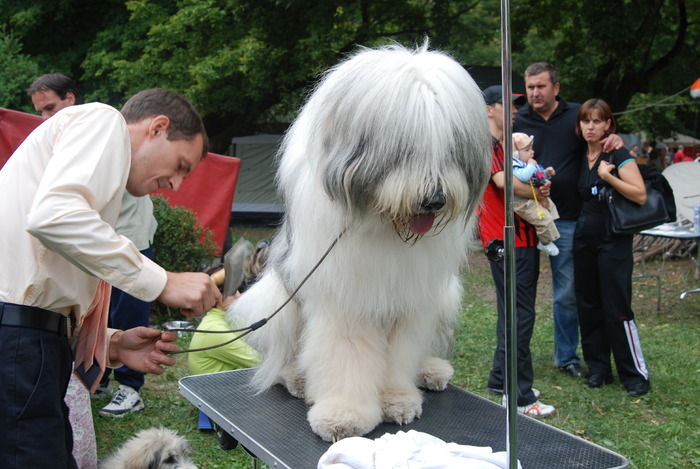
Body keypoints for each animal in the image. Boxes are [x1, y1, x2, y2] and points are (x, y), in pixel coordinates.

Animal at [227, 41, 490, 442]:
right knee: (284, 353)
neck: (385, 225)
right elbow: (346, 354)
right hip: (278, 301)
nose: (434, 200)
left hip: (445, 297)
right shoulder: (346, 297)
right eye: (405, 147)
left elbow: (400, 353)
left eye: (451, 149)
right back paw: (298, 379)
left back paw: (431, 370)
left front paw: (398, 400)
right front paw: (344, 415)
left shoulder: (410, 299)